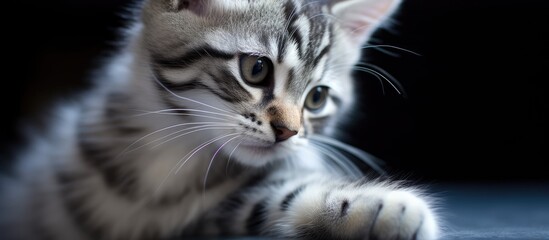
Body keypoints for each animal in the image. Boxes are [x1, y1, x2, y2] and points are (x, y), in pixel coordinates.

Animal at [0, 0, 436, 239]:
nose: (288, 132)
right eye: (256, 69)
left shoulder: (216, 211)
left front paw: (380, 207)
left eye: (317, 98)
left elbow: (279, 196)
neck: (170, 148)